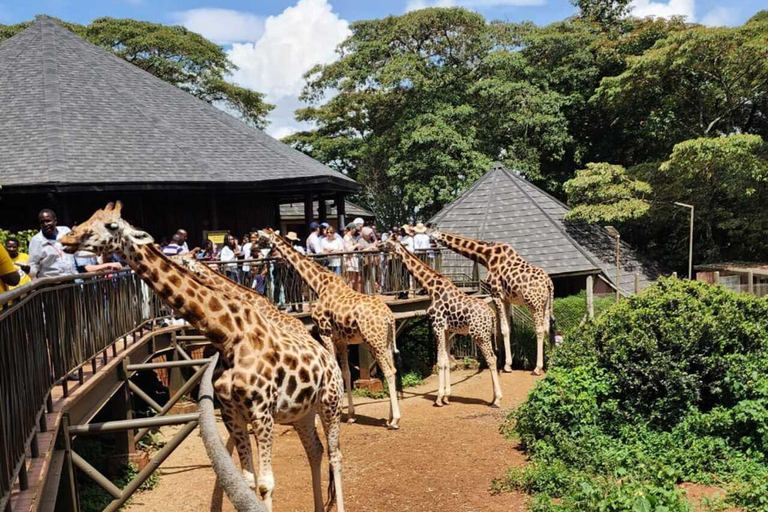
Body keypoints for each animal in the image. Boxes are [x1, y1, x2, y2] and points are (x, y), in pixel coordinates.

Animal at [61, 203, 345, 512]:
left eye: (111, 225)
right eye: (88, 218)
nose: (66, 239)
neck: (229, 336)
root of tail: (329, 362)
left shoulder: (261, 413)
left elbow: (265, 484)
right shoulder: (233, 414)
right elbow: (247, 482)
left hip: (329, 402)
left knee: (335, 455)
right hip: (302, 411)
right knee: (315, 450)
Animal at [259, 228, 402, 430]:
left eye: (261, 237)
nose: (258, 251)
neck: (319, 284)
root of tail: (390, 317)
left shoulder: (324, 332)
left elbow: (332, 370)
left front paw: (322, 417)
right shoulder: (340, 339)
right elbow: (346, 372)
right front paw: (350, 415)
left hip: (374, 341)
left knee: (388, 371)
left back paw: (395, 420)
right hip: (386, 340)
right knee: (393, 369)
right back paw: (389, 417)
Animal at [382, 238, 502, 407]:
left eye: (387, 243)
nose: (379, 247)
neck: (431, 286)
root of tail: (491, 313)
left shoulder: (437, 326)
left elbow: (439, 361)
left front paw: (439, 398)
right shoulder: (446, 329)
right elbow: (446, 360)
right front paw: (446, 396)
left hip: (479, 335)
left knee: (491, 359)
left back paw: (497, 399)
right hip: (486, 334)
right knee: (494, 358)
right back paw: (492, 397)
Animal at [430, 230, 555, 375]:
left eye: (431, 238)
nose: (432, 247)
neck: (486, 256)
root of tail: (549, 283)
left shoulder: (496, 294)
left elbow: (503, 330)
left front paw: (506, 365)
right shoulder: (506, 298)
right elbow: (508, 328)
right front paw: (507, 363)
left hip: (534, 305)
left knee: (539, 330)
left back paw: (537, 368)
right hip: (546, 304)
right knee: (548, 328)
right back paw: (551, 363)